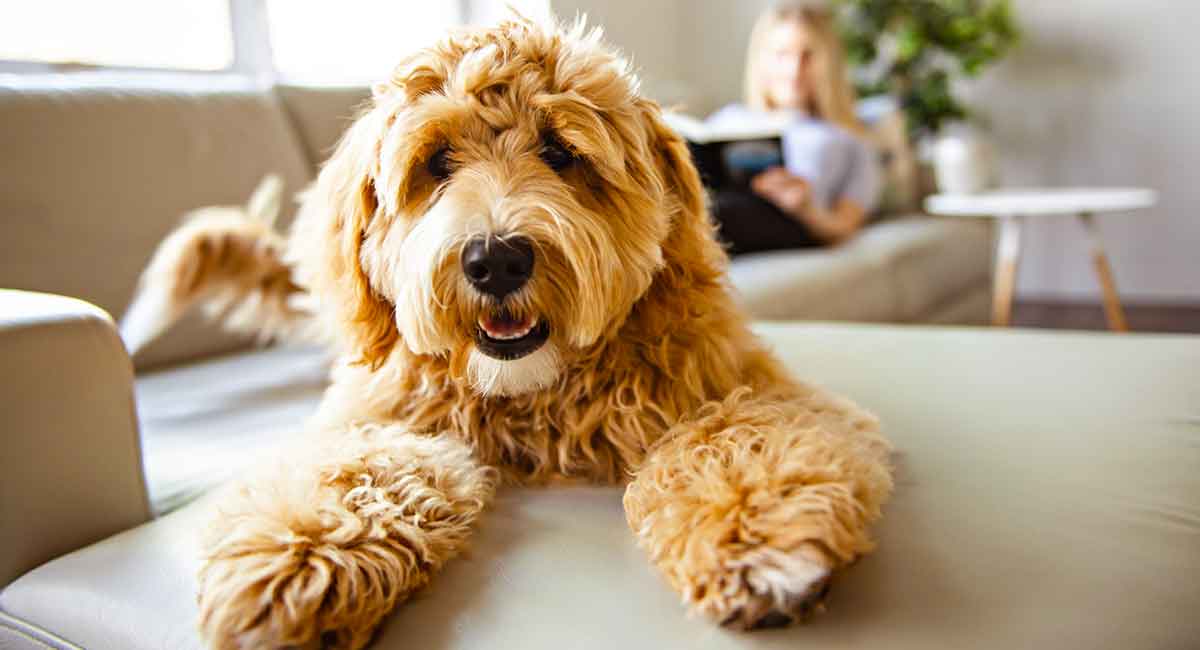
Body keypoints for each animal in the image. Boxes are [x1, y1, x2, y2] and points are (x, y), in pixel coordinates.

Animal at [124, 15, 892, 650]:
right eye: (436, 162)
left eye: (560, 152)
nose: (495, 259)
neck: (534, 395)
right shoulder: (379, 416)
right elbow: (358, 468)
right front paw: (298, 558)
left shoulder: (745, 386)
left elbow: (735, 437)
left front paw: (756, 534)